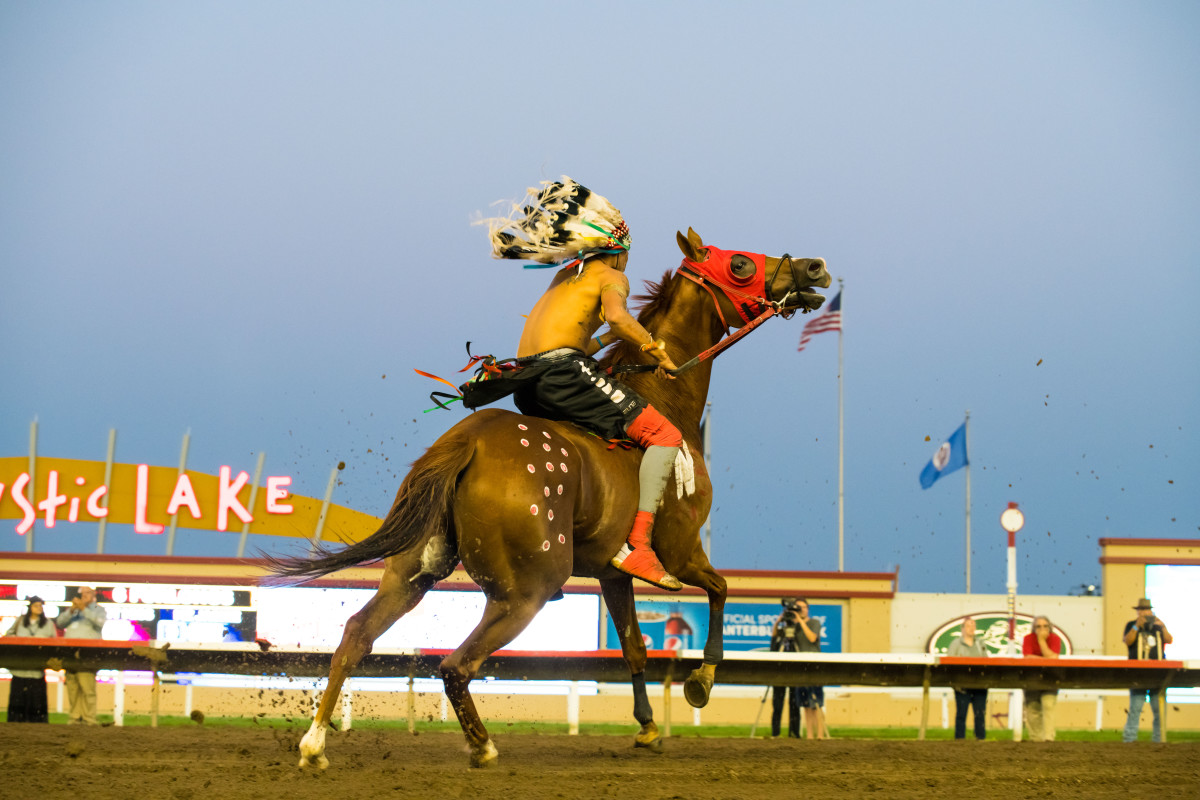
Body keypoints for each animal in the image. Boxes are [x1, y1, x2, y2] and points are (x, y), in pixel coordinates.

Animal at [266, 226, 830, 767]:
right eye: (740, 264)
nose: (815, 267)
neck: (665, 396)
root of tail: (467, 441)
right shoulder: (682, 551)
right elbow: (719, 589)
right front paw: (700, 682)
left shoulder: (611, 572)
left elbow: (634, 647)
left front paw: (647, 727)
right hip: (527, 590)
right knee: (455, 665)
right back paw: (482, 747)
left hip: (414, 571)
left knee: (356, 635)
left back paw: (315, 745)